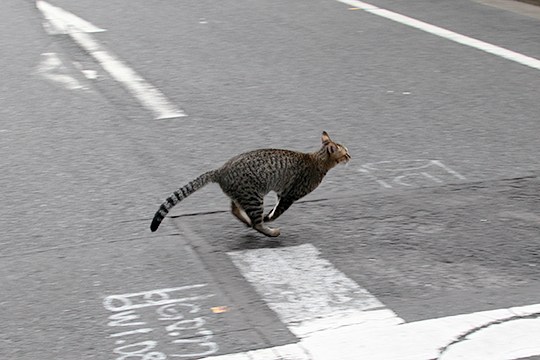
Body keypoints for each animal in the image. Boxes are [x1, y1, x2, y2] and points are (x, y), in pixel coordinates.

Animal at [150, 131, 350, 236]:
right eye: (345, 153)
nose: (351, 156)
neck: (318, 159)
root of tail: (221, 170)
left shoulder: (282, 193)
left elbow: (275, 208)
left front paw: (269, 216)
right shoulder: (290, 195)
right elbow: (277, 212)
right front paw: (269, 218)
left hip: (244, 194)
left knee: (234, 209)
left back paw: (247, 221)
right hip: (254, 196)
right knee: (256, 223)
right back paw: (269, 230)